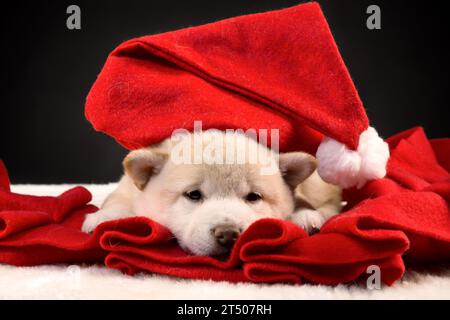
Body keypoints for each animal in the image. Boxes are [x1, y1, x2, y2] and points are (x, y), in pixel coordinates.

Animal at [82, 129, 342, 255]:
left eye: (253, 197)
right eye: (194, 195)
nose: (228, 234)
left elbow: (301, 198)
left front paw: (304, 214)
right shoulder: (127, 186)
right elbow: (118, 200)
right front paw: (103, 217)